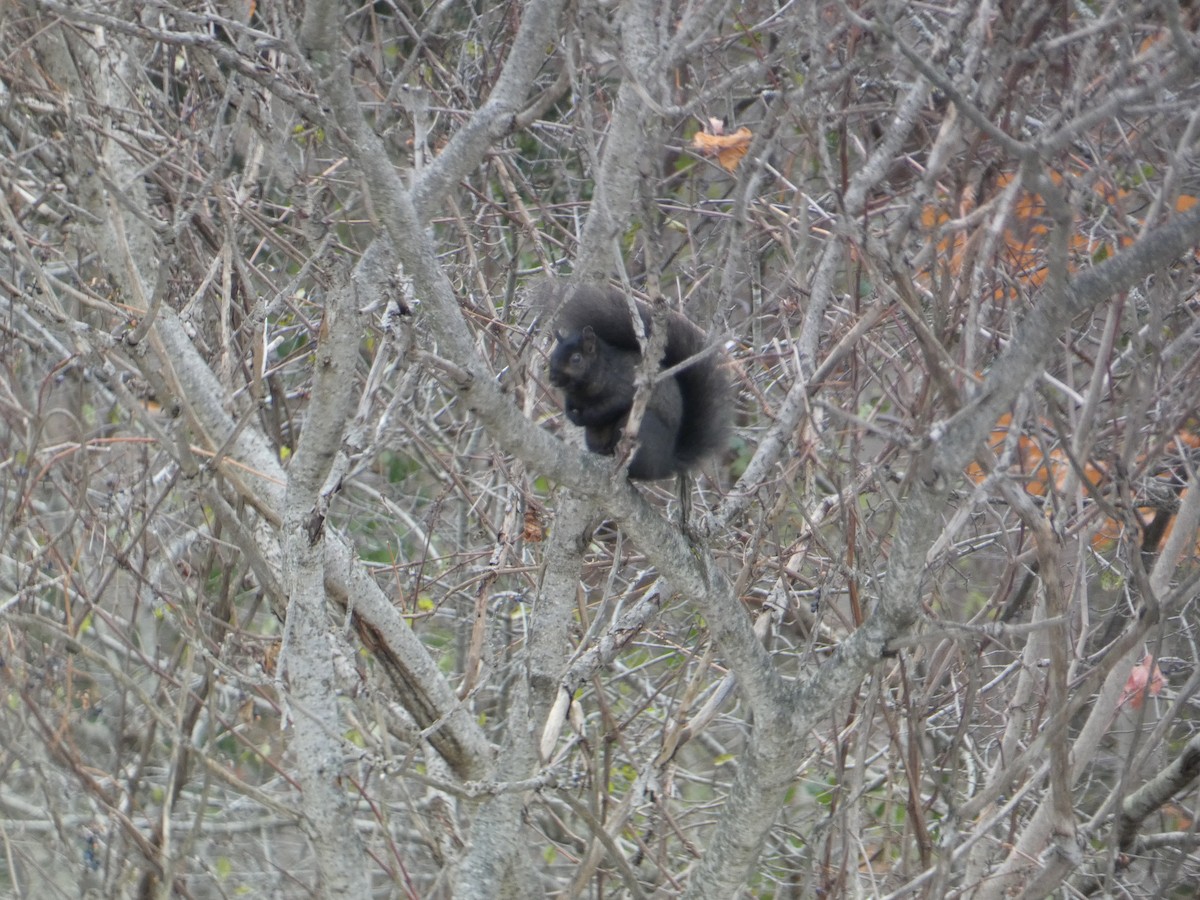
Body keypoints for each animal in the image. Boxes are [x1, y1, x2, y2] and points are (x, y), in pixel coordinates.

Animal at [545, 283, 732, 480]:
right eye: (554, 355)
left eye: (576, 359)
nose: (553, 378)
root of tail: (664, 465)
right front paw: (569, 411)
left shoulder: (625, 385)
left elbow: (610, 407)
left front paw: (581, 417)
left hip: (645, 428)